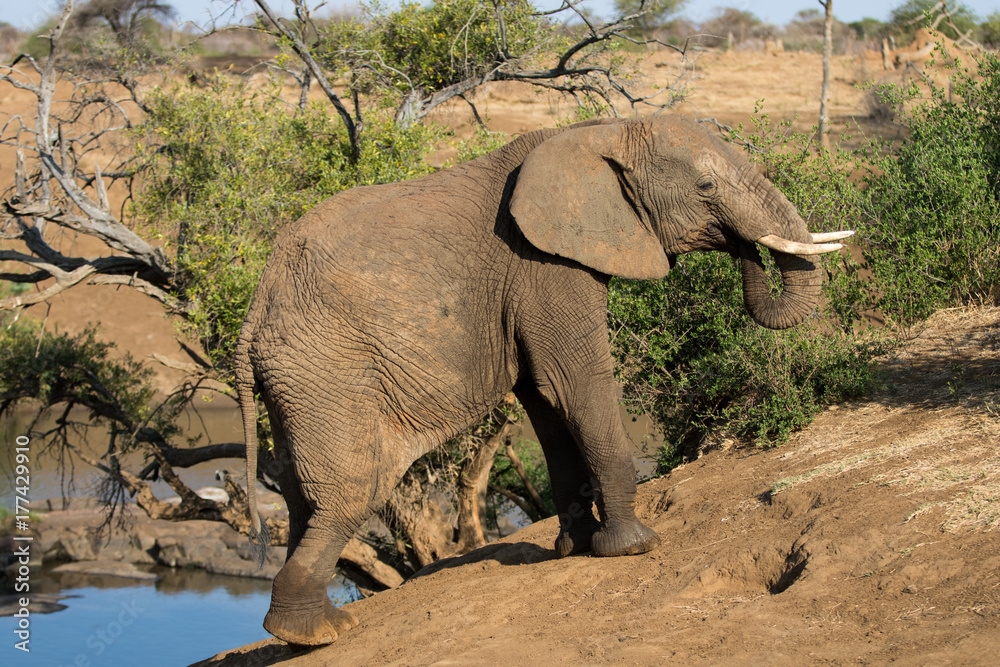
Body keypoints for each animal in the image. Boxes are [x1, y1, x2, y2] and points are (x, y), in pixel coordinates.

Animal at [234, 115, 852, 646]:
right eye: (705, 185)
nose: (745, 245)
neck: (599, 131)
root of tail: (253, 311)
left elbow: (546, 402)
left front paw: (573, 548)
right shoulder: (543, 265)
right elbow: (576, 382)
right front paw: (632, 548)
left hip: (296, 382)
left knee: (300, 498)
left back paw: (306, 627)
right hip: (327, 371)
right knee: (353, 489)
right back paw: (314, 634)